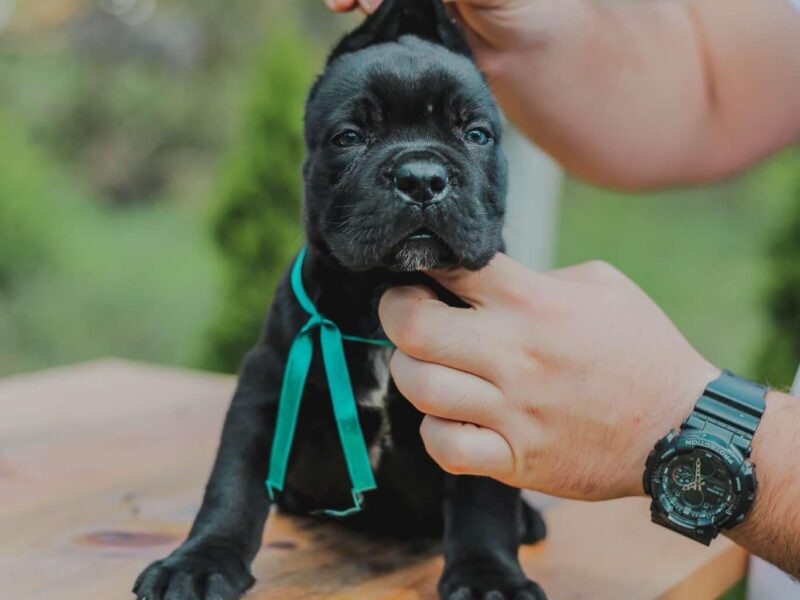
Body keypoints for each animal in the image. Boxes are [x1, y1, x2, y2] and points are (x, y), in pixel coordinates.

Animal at [136, 2, 552, 596]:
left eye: (476, 134)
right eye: (349, 136)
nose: (421, 177)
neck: (382, 288)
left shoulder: (483, 402)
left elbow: (483, 499)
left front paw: (488, 575)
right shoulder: (267, 383)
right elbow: (231, 483)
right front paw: (199, 562)